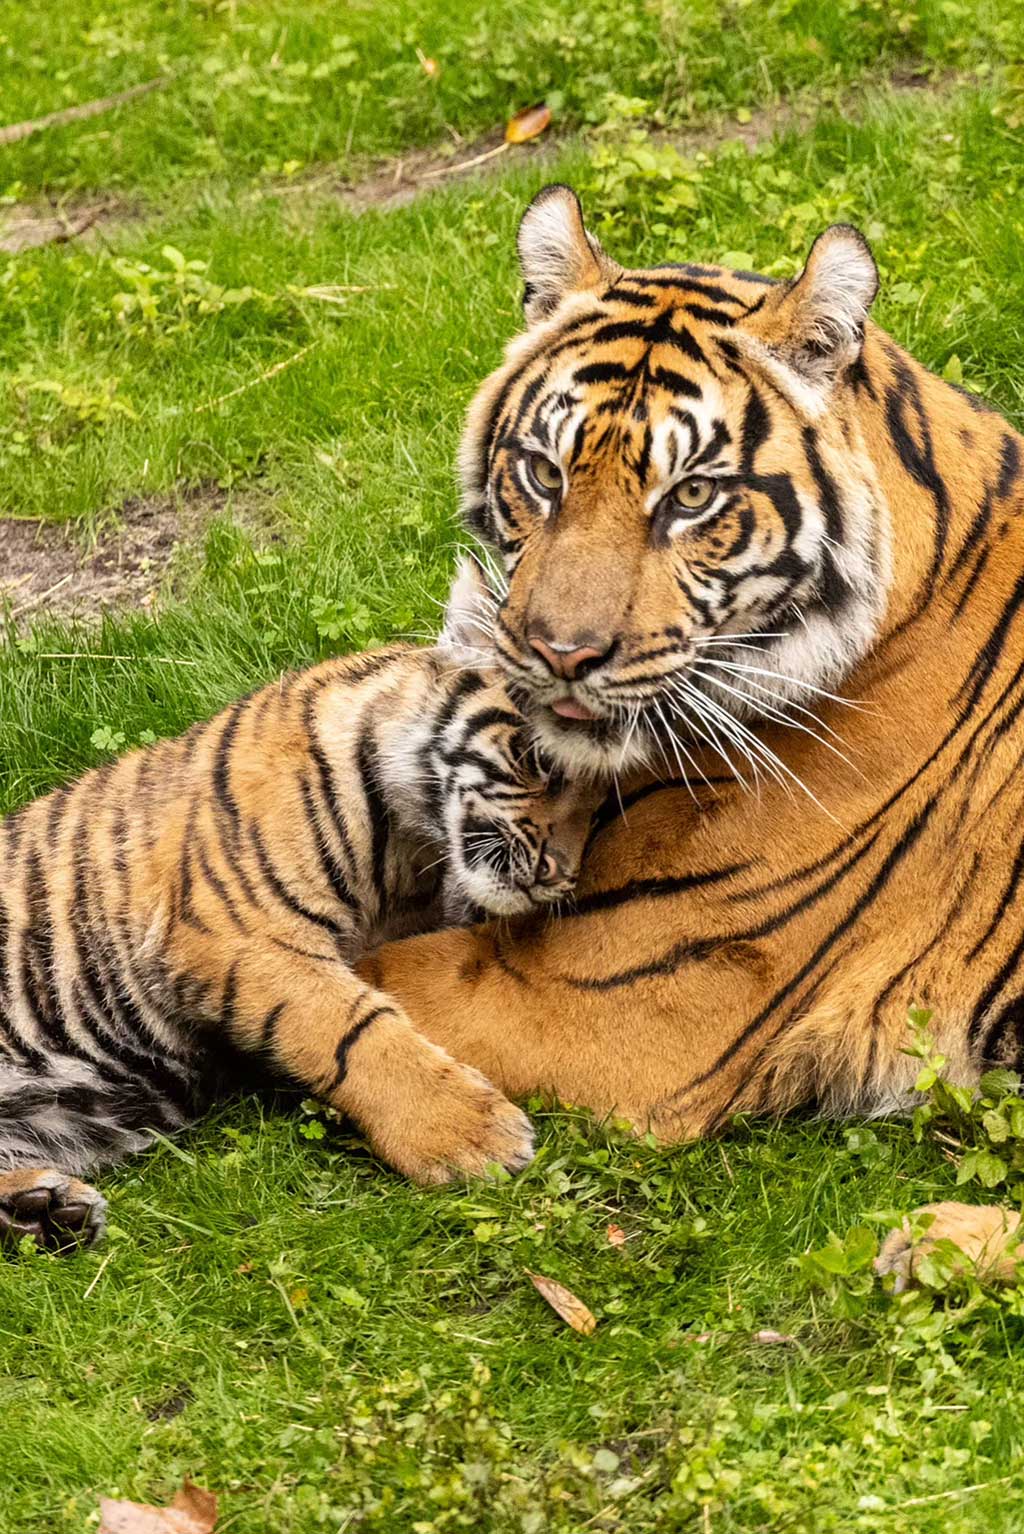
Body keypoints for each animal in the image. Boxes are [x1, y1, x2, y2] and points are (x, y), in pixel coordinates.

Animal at [363, 185, 1024, 1257]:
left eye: (693, 496)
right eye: (544, 474)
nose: (561, 652)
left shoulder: (616, 995)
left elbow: (368, 969)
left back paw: (926, 1243)